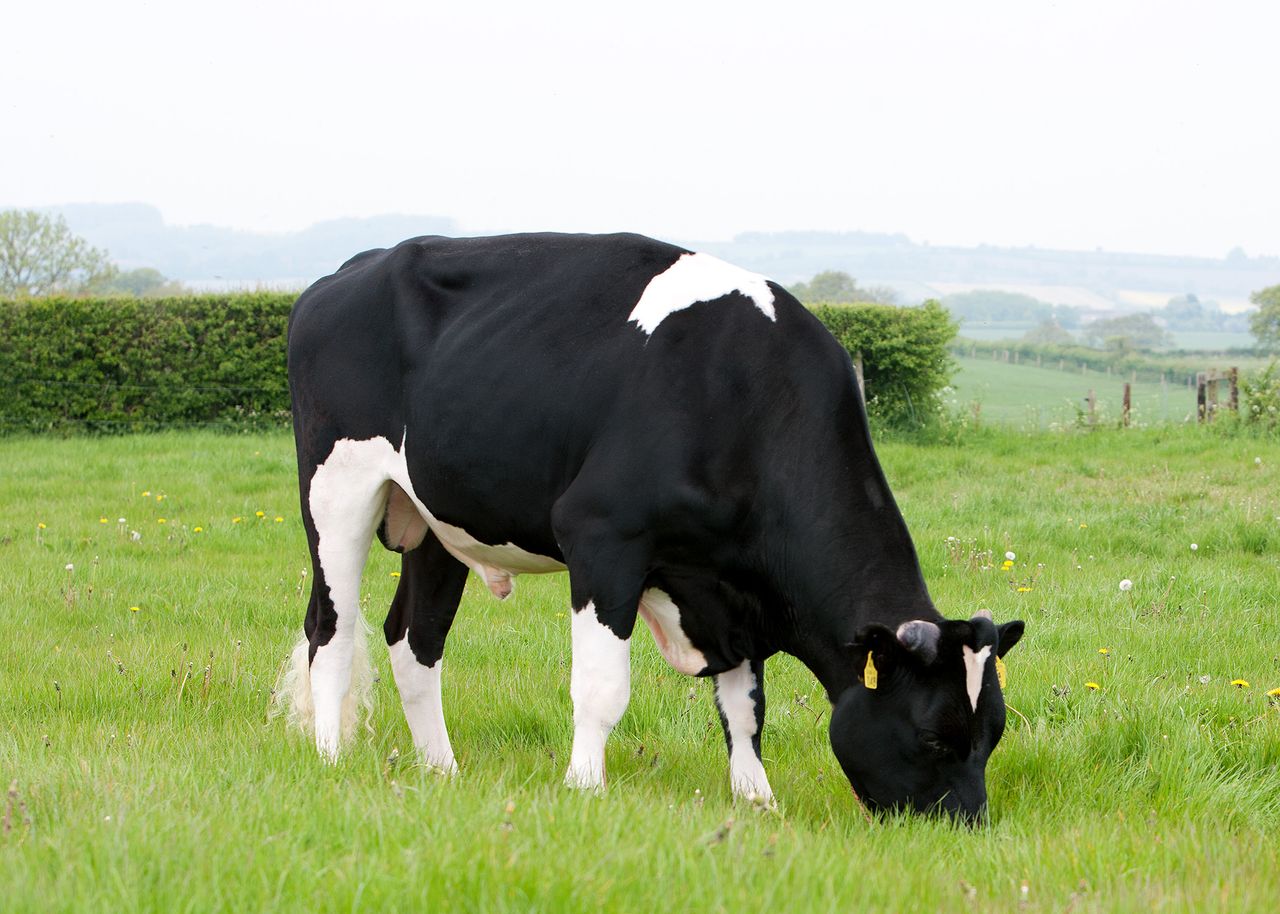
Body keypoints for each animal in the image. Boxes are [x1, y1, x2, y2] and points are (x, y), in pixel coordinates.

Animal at [279, 232, 1025, 822]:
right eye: (933, 738)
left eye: (992, 735)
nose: (968, 825)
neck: (747, 397)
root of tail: (350, 270)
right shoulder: (602, 537)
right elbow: (603, 690)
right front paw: (585, 787)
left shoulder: (734, 592)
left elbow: (746, 708)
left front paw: (757, 800)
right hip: (337, 490)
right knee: (332, 630)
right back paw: (330, 756)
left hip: (436, 521)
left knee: (414, 640)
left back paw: (443, 769)